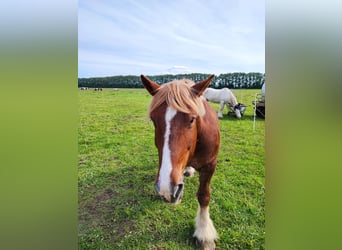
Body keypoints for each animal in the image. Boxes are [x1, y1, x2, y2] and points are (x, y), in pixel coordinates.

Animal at [141, 73, 219, 248]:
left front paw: (204, 231)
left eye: (192, 119)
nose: (165, 189)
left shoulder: (210, 165)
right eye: (154, 121)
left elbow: (204, 195)